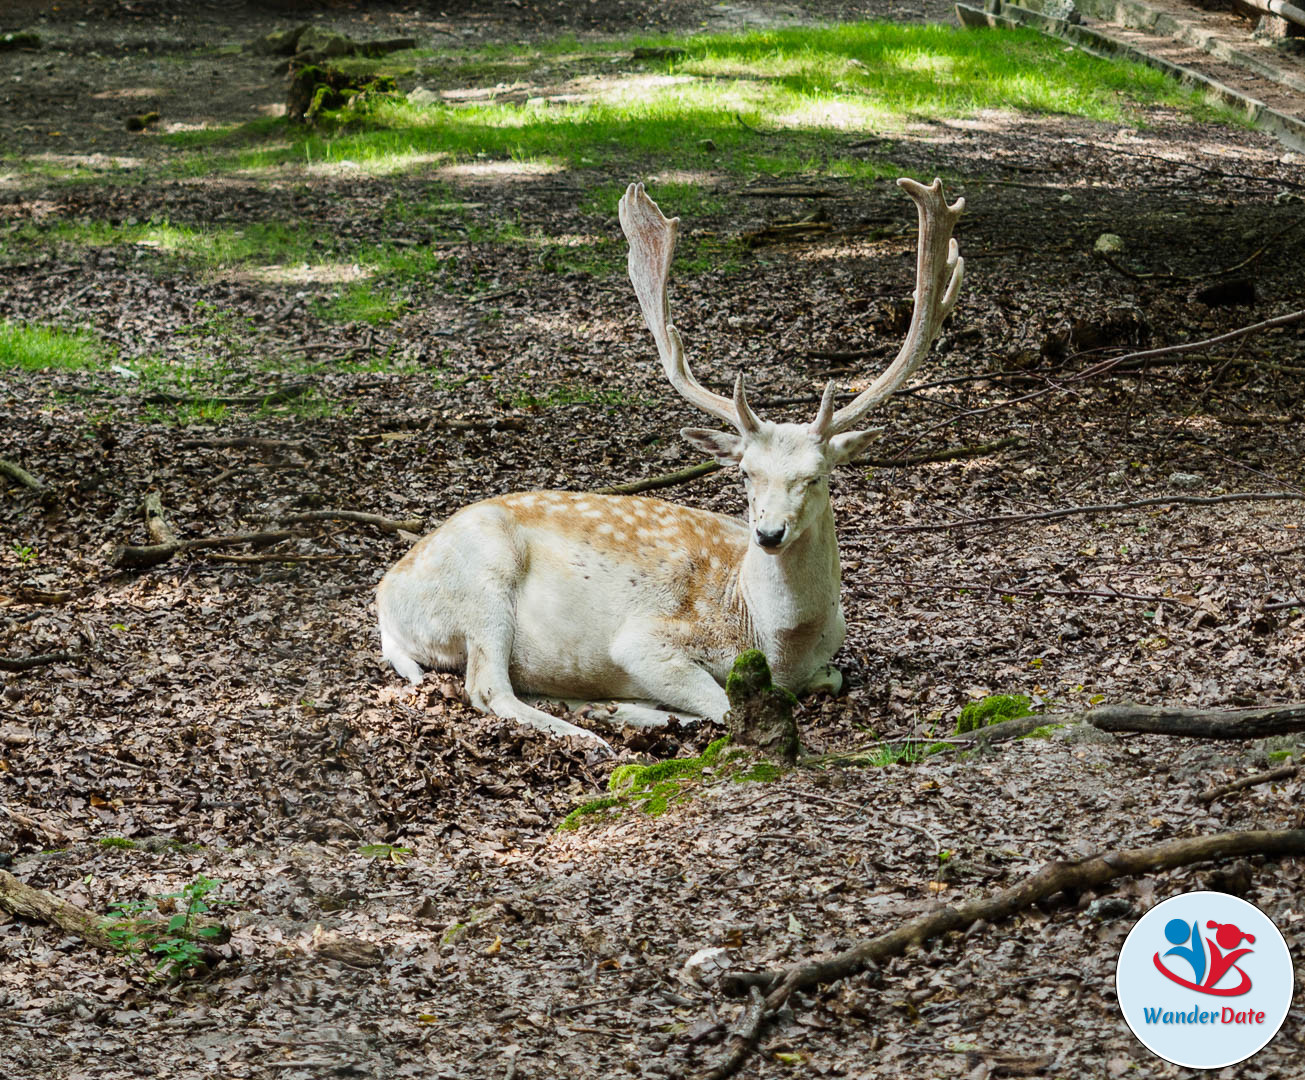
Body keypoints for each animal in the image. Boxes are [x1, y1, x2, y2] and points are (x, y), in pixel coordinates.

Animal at [373, 177, 965, 751]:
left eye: (815, 477)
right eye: (745, 473)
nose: (769, 533)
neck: (779, 643)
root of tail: (385, 596)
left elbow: (834, 678)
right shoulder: (645, 641)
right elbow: (726, 706)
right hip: (482, 585)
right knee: (487, 687)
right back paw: (596, 736)